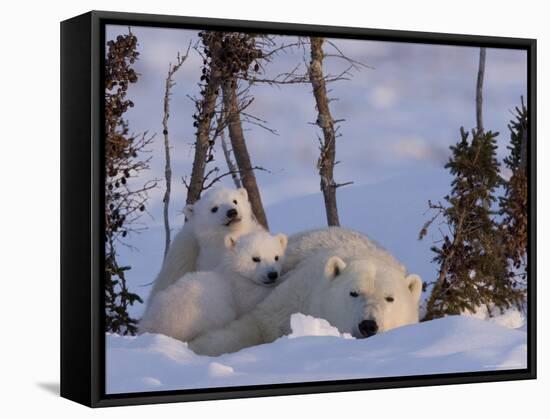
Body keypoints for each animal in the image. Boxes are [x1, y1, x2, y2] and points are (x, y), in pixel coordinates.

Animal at [139, 231, 288, 342]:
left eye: (276, 257)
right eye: (256, 258)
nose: (272, 274)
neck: (232, 271)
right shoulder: (238, 289)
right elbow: (254, 298)